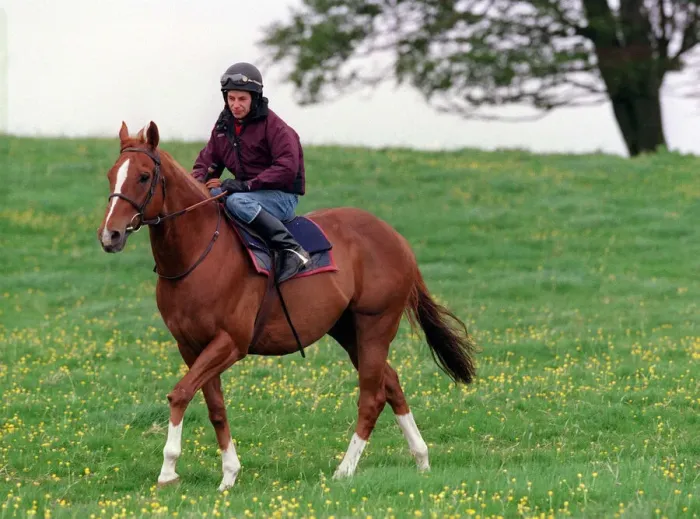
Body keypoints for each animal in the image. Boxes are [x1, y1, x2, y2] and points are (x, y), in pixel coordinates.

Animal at [96, 121, 478, 492]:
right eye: (112, 174)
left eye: (144, 175)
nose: (110, 235)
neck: (199, 254)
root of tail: (397, 239)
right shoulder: (190, 346)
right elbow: (214, 406)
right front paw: (229, 473)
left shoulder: (230, 343)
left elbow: (179, 394)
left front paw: (168, 470)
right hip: (347, 330)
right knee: (392, 383)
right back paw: (421, 458)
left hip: (375, 325)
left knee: (372, 396)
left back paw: (345, 470)